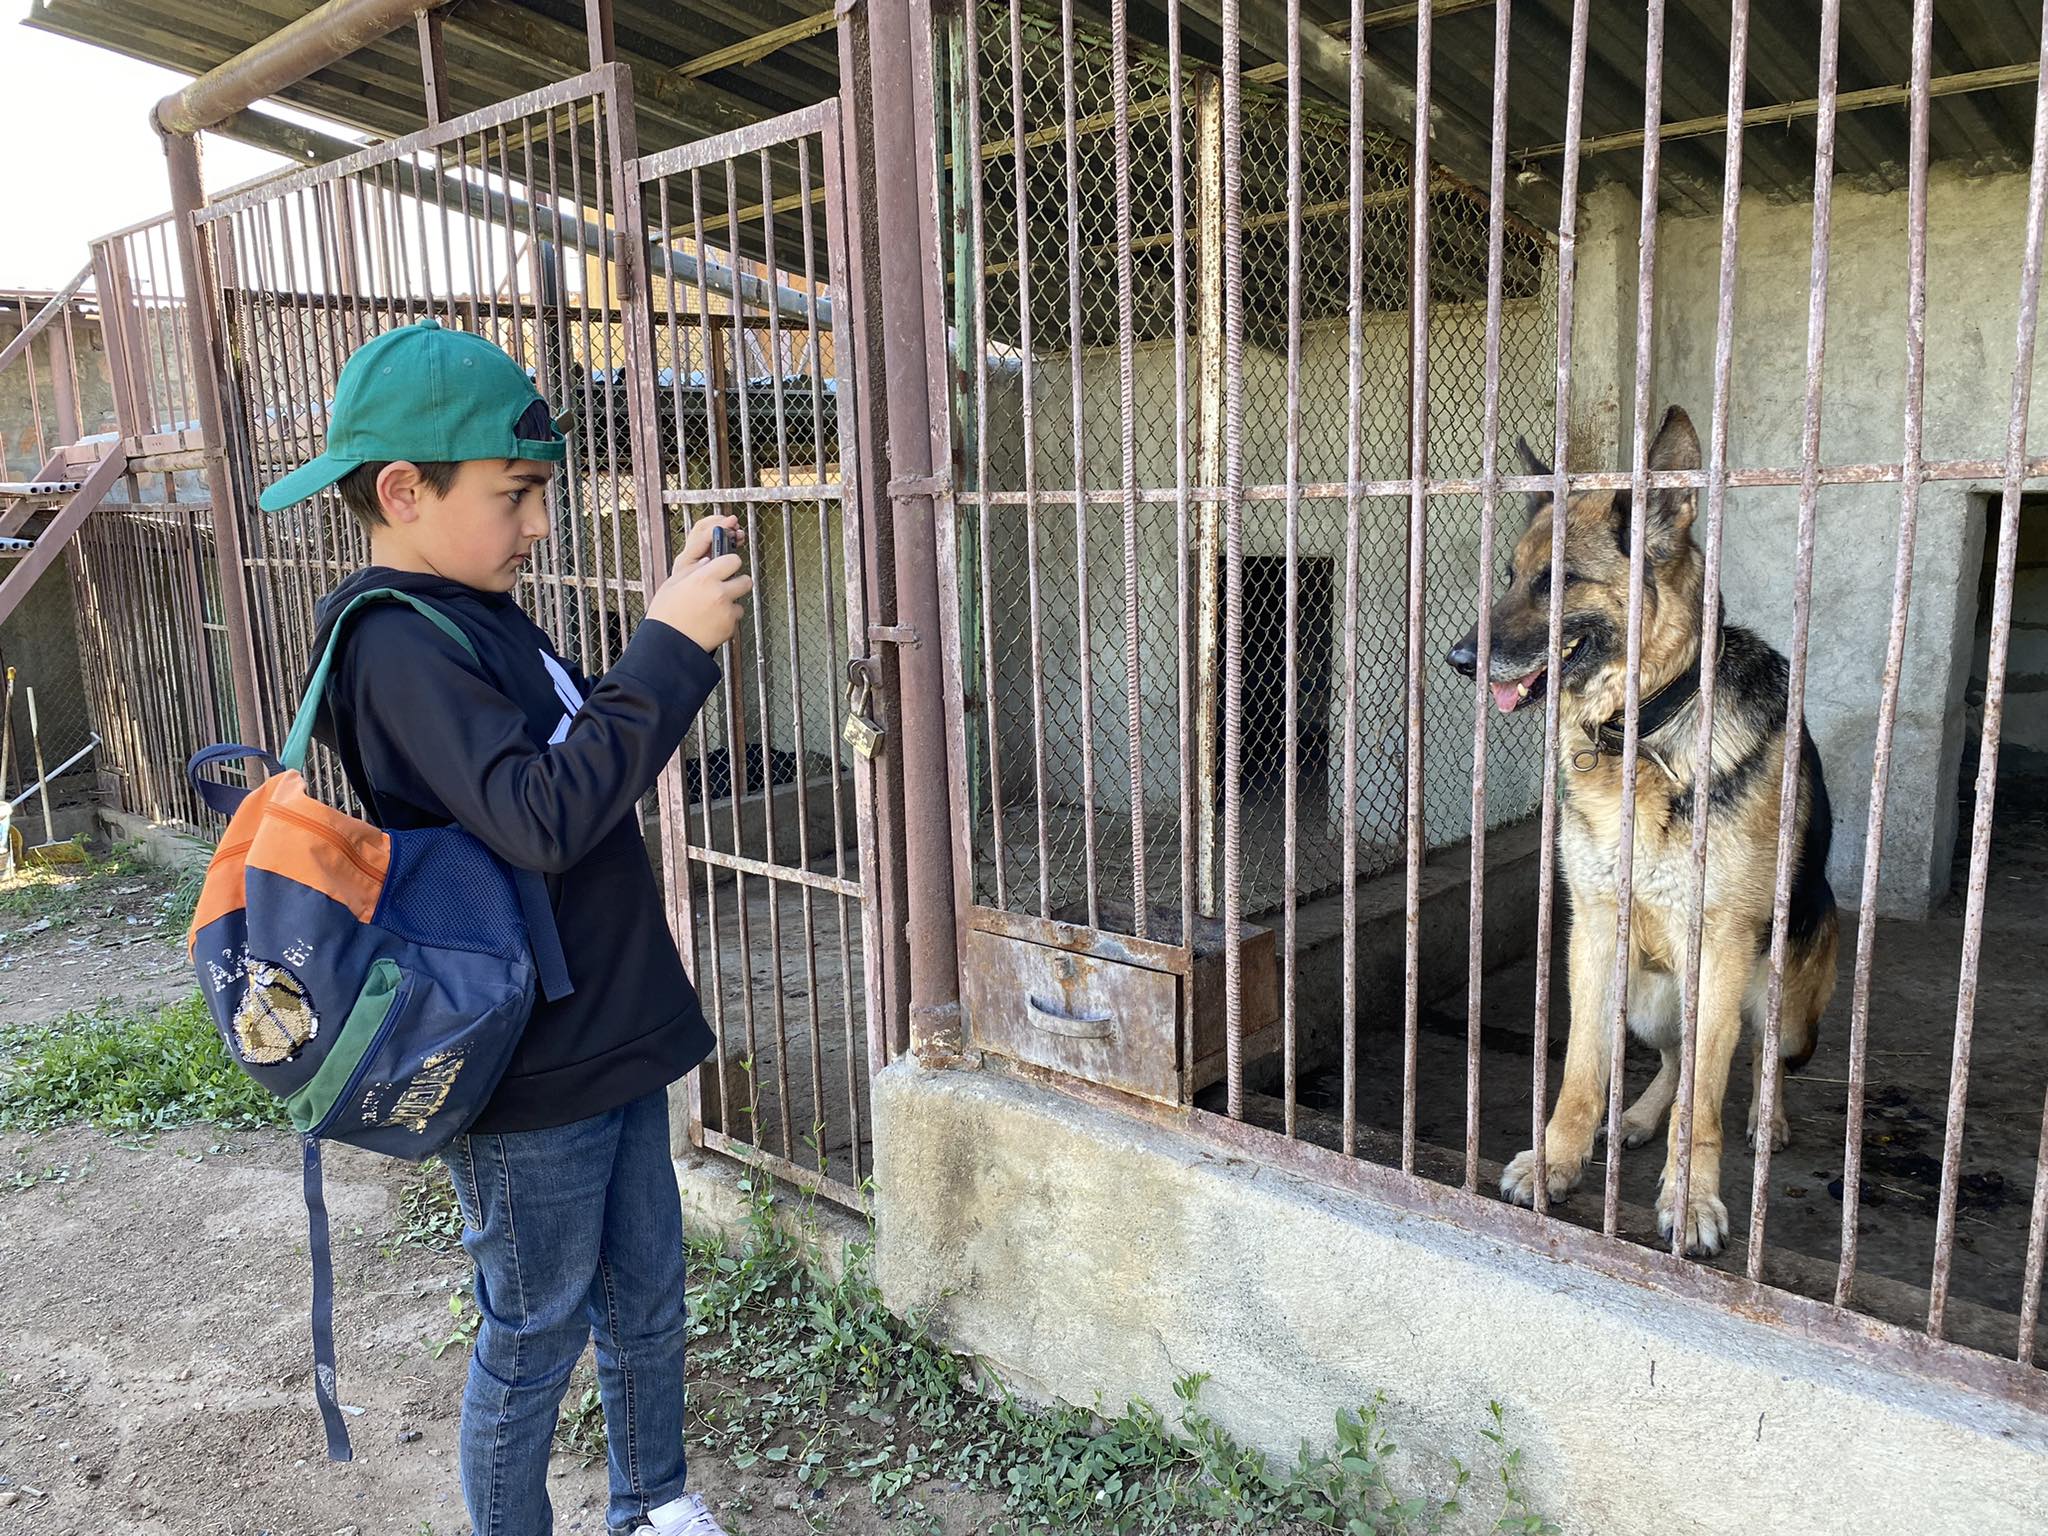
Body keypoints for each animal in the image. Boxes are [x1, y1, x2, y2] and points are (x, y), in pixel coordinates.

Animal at [1441, 409, 1843, 1261]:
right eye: (1508, 574)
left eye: (1558, 581)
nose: (1458, 660)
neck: (1644, 733)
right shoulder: (1594, 928)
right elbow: (1581, 1073)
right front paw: (1556, 1161)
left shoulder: (1720, 941)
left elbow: (1706, 1105)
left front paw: (1690, 1202)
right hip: (1644, 995)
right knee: (1676, 1056)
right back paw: (1636, 1118)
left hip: (1784, 1002)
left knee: (1753, 1062)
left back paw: (1766, 1118)